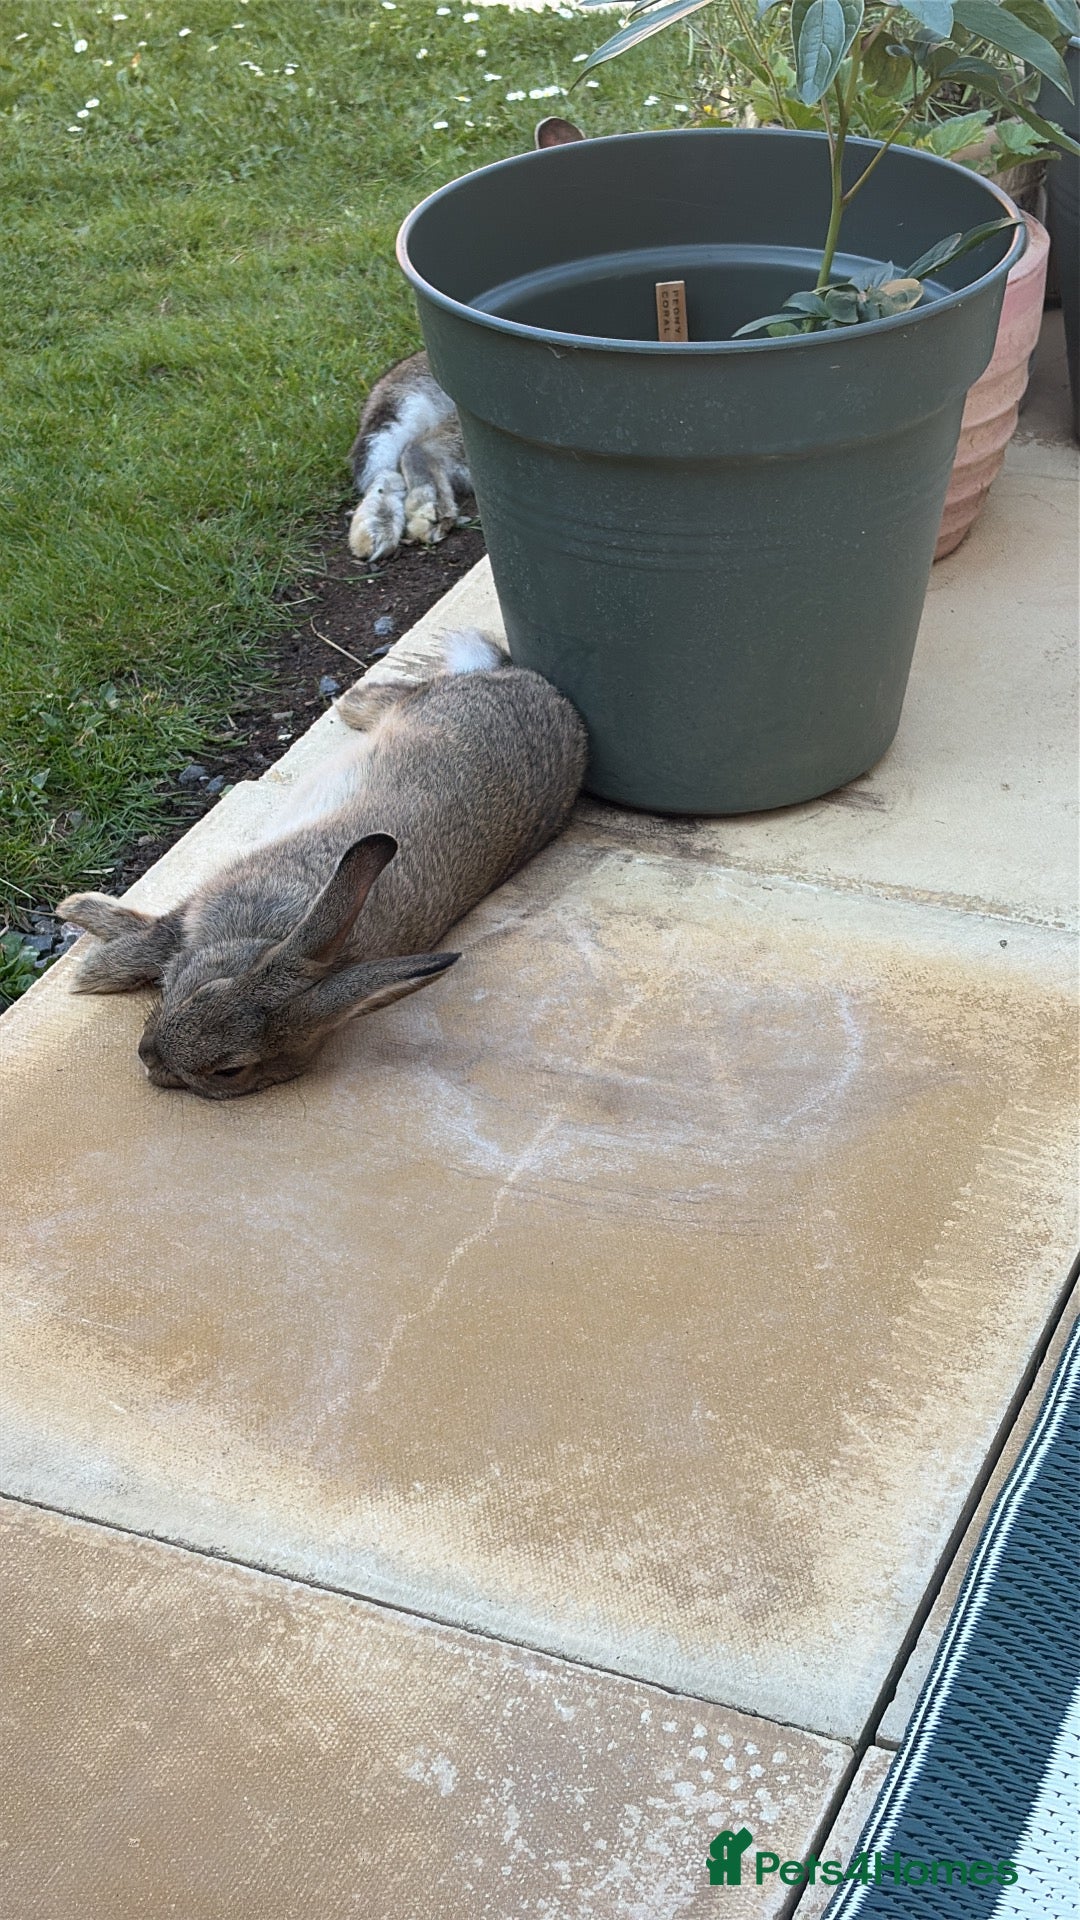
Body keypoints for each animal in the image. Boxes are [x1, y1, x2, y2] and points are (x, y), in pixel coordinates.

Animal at [57, 633, 587, 1100]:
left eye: (231, 1071)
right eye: (205, 991)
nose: (148, 1058)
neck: (265, 941)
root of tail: (547, 692)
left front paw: (88, 963)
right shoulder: (218, 891)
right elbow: (157, 935)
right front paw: (87, 951)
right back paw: (352, 702)